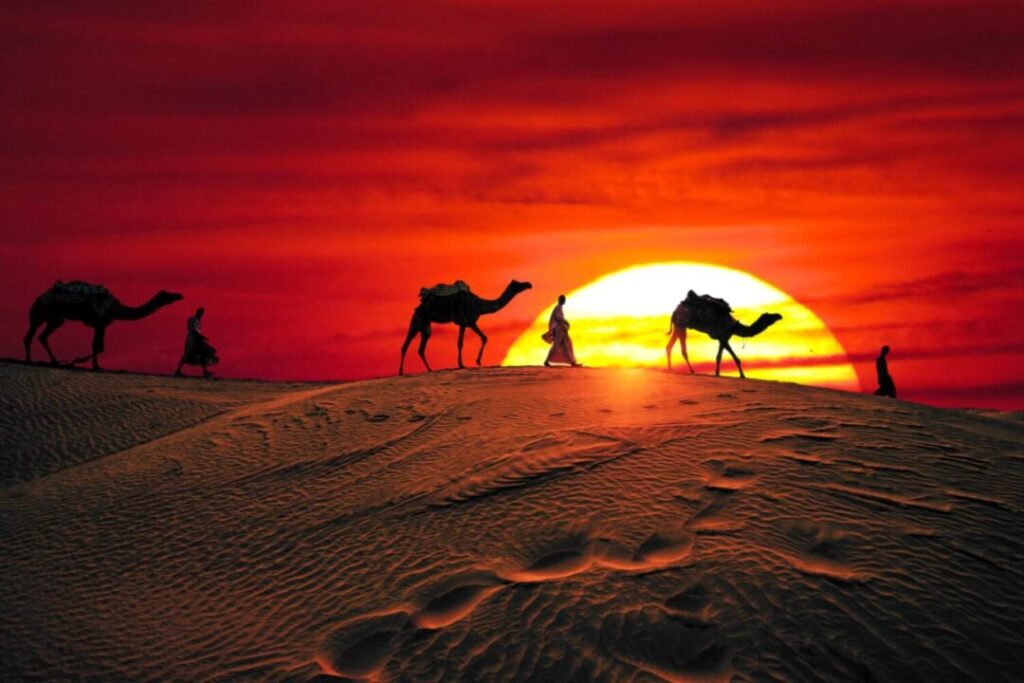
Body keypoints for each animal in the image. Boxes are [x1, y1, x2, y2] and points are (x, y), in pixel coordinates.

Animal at [24, 281, 183, 370]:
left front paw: (86, 363)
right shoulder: (99, 321)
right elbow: (97, 346)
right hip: (41, 313)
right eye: (167, 294)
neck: (117, 309)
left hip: (54, 318)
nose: (179, 295)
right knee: (31, 336)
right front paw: (92, 365)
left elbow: (100, 347)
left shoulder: (102, 324)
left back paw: (54, 362)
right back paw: (30, 360)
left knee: (41, 336)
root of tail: (38, 298)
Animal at [400, 279, 532, 375]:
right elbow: (460, 343)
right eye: (518, 283)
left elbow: (484, 337)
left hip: (425, 326)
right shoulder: (463, 322)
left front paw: (478, 361)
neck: (480, 305)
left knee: (420, 349)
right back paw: (401, 372)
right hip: (417, 320)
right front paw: (461, 364)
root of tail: (418, 306)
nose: (529, 284)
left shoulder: (471, 322)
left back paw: (429, 369)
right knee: (405, 345)